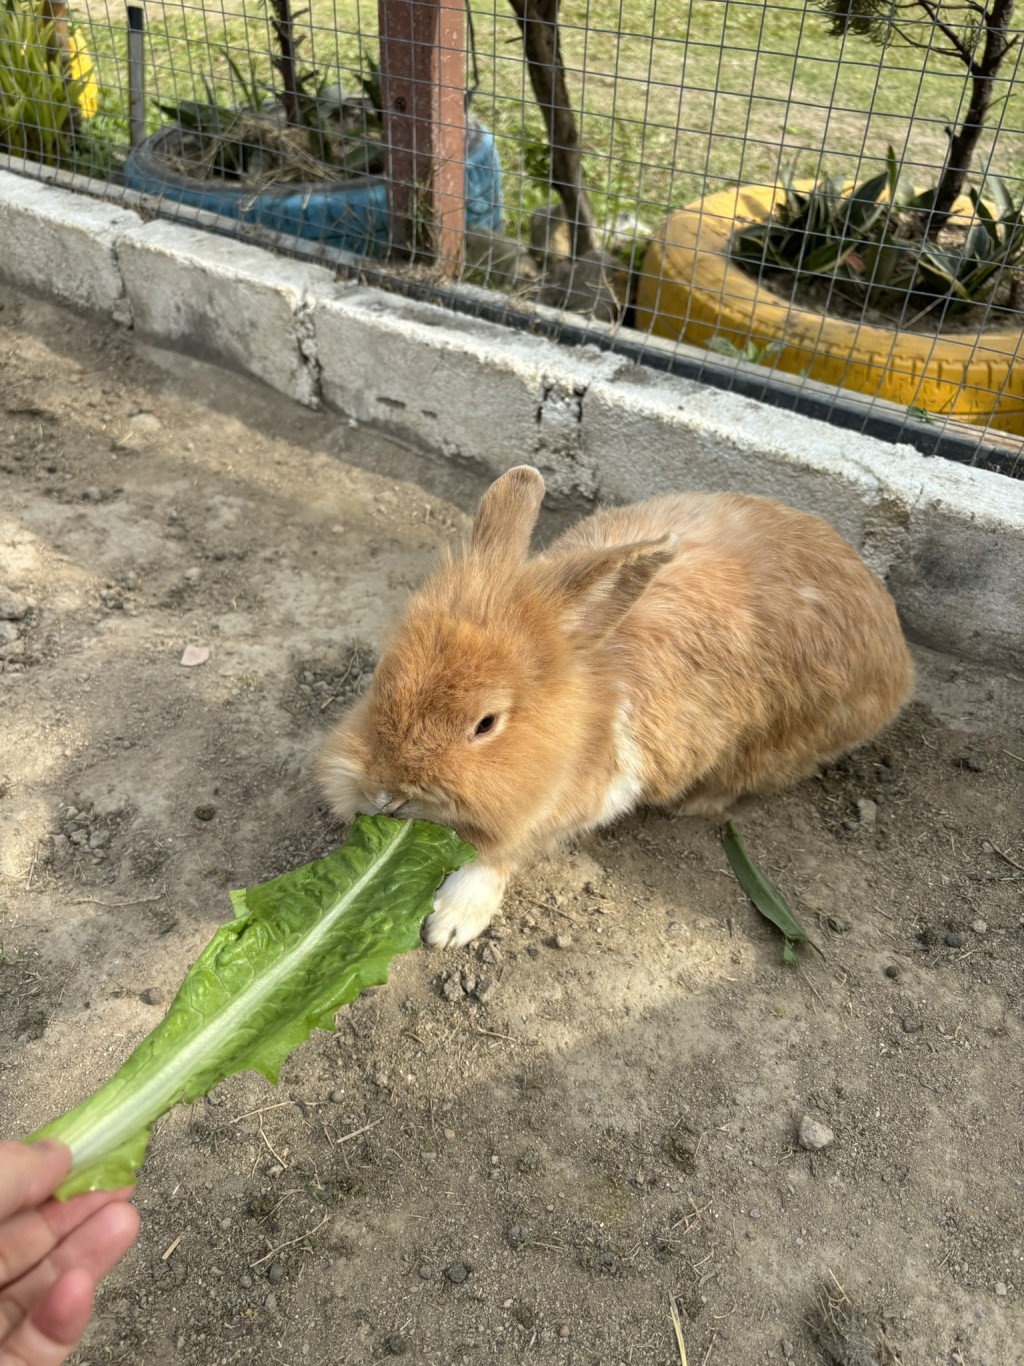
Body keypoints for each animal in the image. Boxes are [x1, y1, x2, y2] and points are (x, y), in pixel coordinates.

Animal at [319, 464, 912, 945]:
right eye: (382, 676)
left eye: (486, 723)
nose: (388, 795)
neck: (584, 706)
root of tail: (896, 655)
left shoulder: (569, 805)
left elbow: (499, 855)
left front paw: (450, 921)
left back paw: (695, 803)